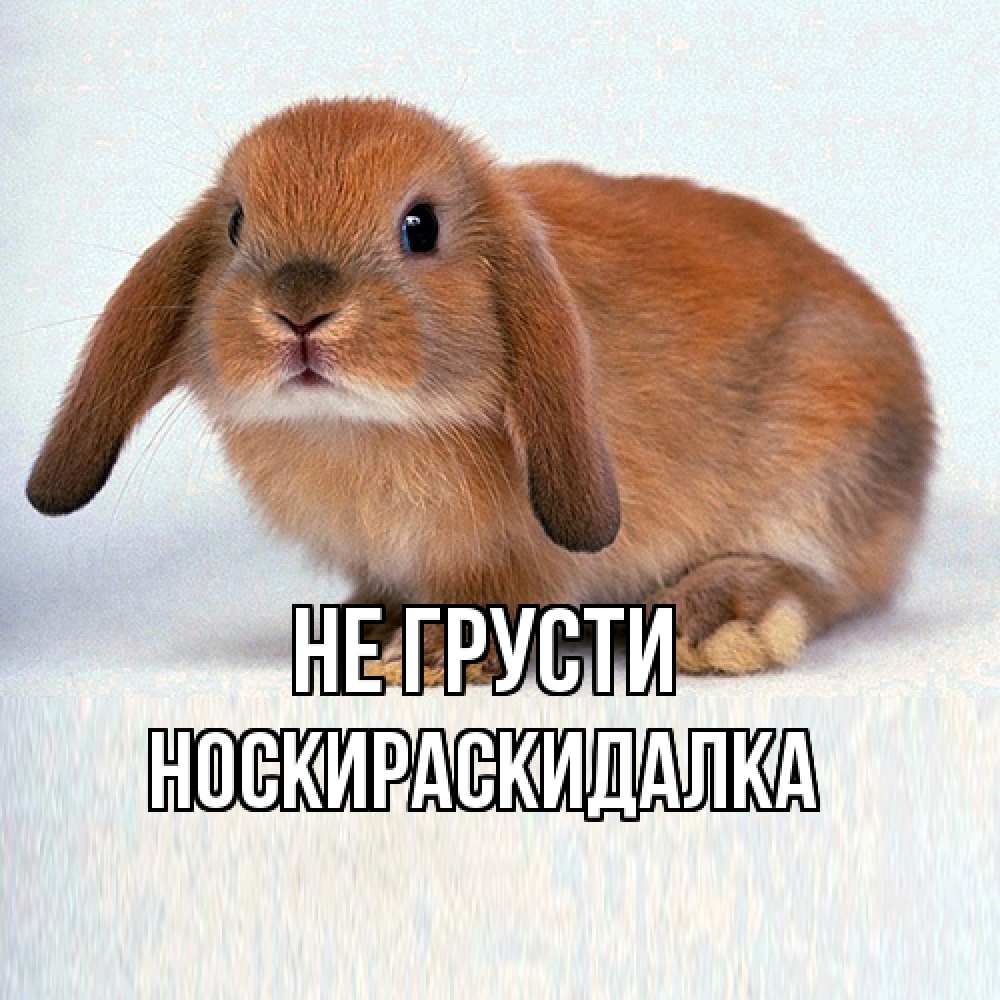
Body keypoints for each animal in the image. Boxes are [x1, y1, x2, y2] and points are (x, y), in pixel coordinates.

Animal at [26, 97, 934, 683]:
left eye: (420, 227)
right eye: (237, 224)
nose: (299, 311)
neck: (360, 428)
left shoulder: (517, 559)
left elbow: (499, 599)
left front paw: (427, 659)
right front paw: (375, 634)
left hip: (822, 468)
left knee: (824, 583)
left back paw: (720, 622)